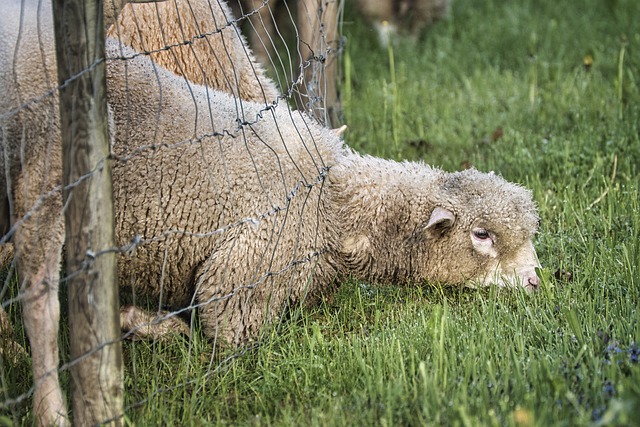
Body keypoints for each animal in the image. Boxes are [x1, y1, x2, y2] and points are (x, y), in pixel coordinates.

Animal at [0, 0, 540, 424]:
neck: (332, 202)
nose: (537, 280)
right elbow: (217, 348)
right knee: (39, 295)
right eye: (482, 235)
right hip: (43, 177)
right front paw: (147, 324)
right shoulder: (234, 286)